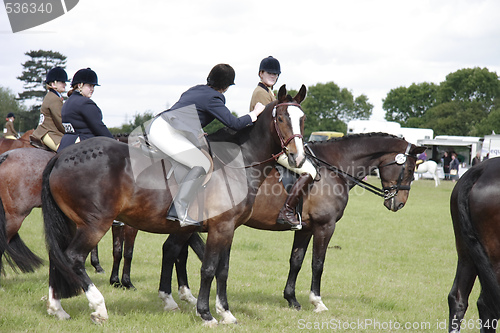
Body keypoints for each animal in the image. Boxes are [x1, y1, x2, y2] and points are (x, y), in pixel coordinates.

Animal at [42, 83, 308, 324]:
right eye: (281, 118)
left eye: (302, 119)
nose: (298, 157)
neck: (238, 163)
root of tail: (62, 157)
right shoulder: (220, 227)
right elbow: (208, 268)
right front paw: (206, 313)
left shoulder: (228, 229)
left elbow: (222, 270)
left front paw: (226, 313)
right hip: (95, 224)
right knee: (74, 257)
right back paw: (99, 307)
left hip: (72, 222)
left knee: (58, 256)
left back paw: (58, 309)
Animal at [156, 132, 426, 312]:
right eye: (409, 169)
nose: (399, 203)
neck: (333, 167)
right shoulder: (325, 226)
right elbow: (318, 263)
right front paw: (317, 302)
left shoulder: (305, 228)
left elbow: (296, 261)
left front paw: (292, 299)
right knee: (172, 249)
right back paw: (172, 299)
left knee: (179, 251)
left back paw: (185, 295)